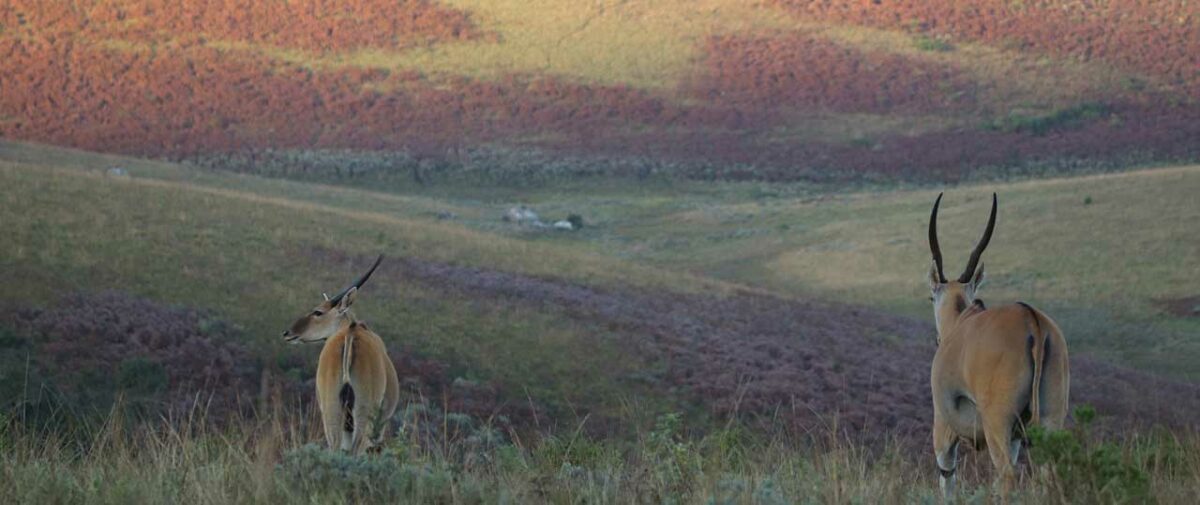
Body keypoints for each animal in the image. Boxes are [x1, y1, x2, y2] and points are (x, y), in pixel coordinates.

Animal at [926, 193, 1070, 496]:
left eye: (931, 297)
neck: (962, 321)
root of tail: (1032, 320)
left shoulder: (943, 428)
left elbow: (947, 479)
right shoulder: (1016, 438)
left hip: (997, 424)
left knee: (1007, 474)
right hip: (1049, 420)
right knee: (1047, 474)